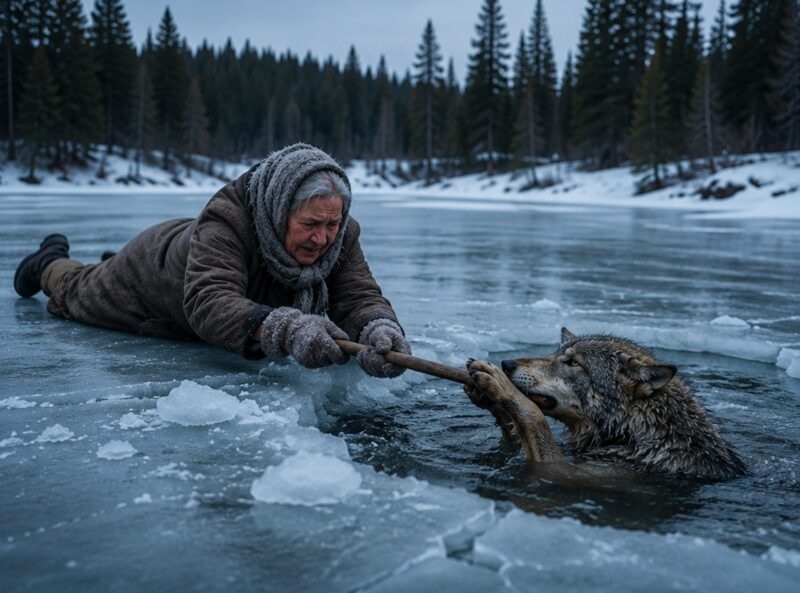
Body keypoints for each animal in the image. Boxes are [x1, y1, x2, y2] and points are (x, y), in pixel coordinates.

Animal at [465, 328, 746, 480]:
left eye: (573, 363)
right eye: (554, 353)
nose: (507, 364)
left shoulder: (565, 472)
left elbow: (534, 416)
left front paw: (500, 385)